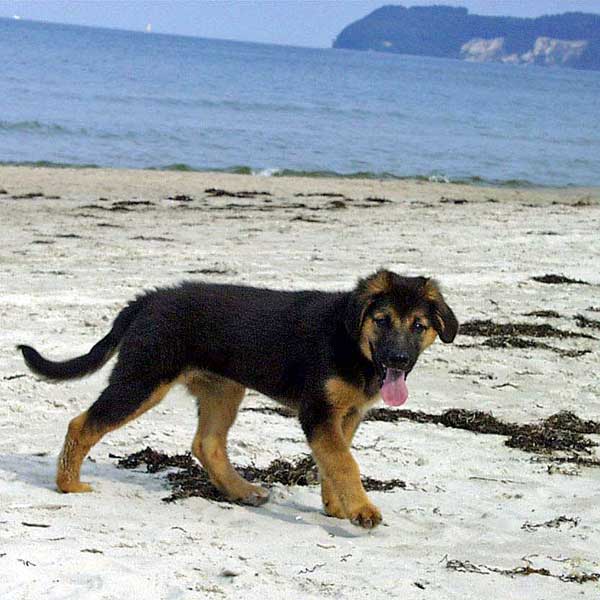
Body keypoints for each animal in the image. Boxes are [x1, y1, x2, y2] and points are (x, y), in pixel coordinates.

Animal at [19, 270, 460, 528]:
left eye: (418, 325)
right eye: (382, 320)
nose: (398, 360)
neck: (350, 340)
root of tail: (149, 299)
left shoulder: (345, 415)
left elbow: (335, 461)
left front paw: (337, 506)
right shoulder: (318, 413)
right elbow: (345, 462)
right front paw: (362, 510)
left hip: (224, 389)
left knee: (207, 444)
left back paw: (242, 491)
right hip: (142, 381)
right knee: (83, 423)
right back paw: (68, 484)